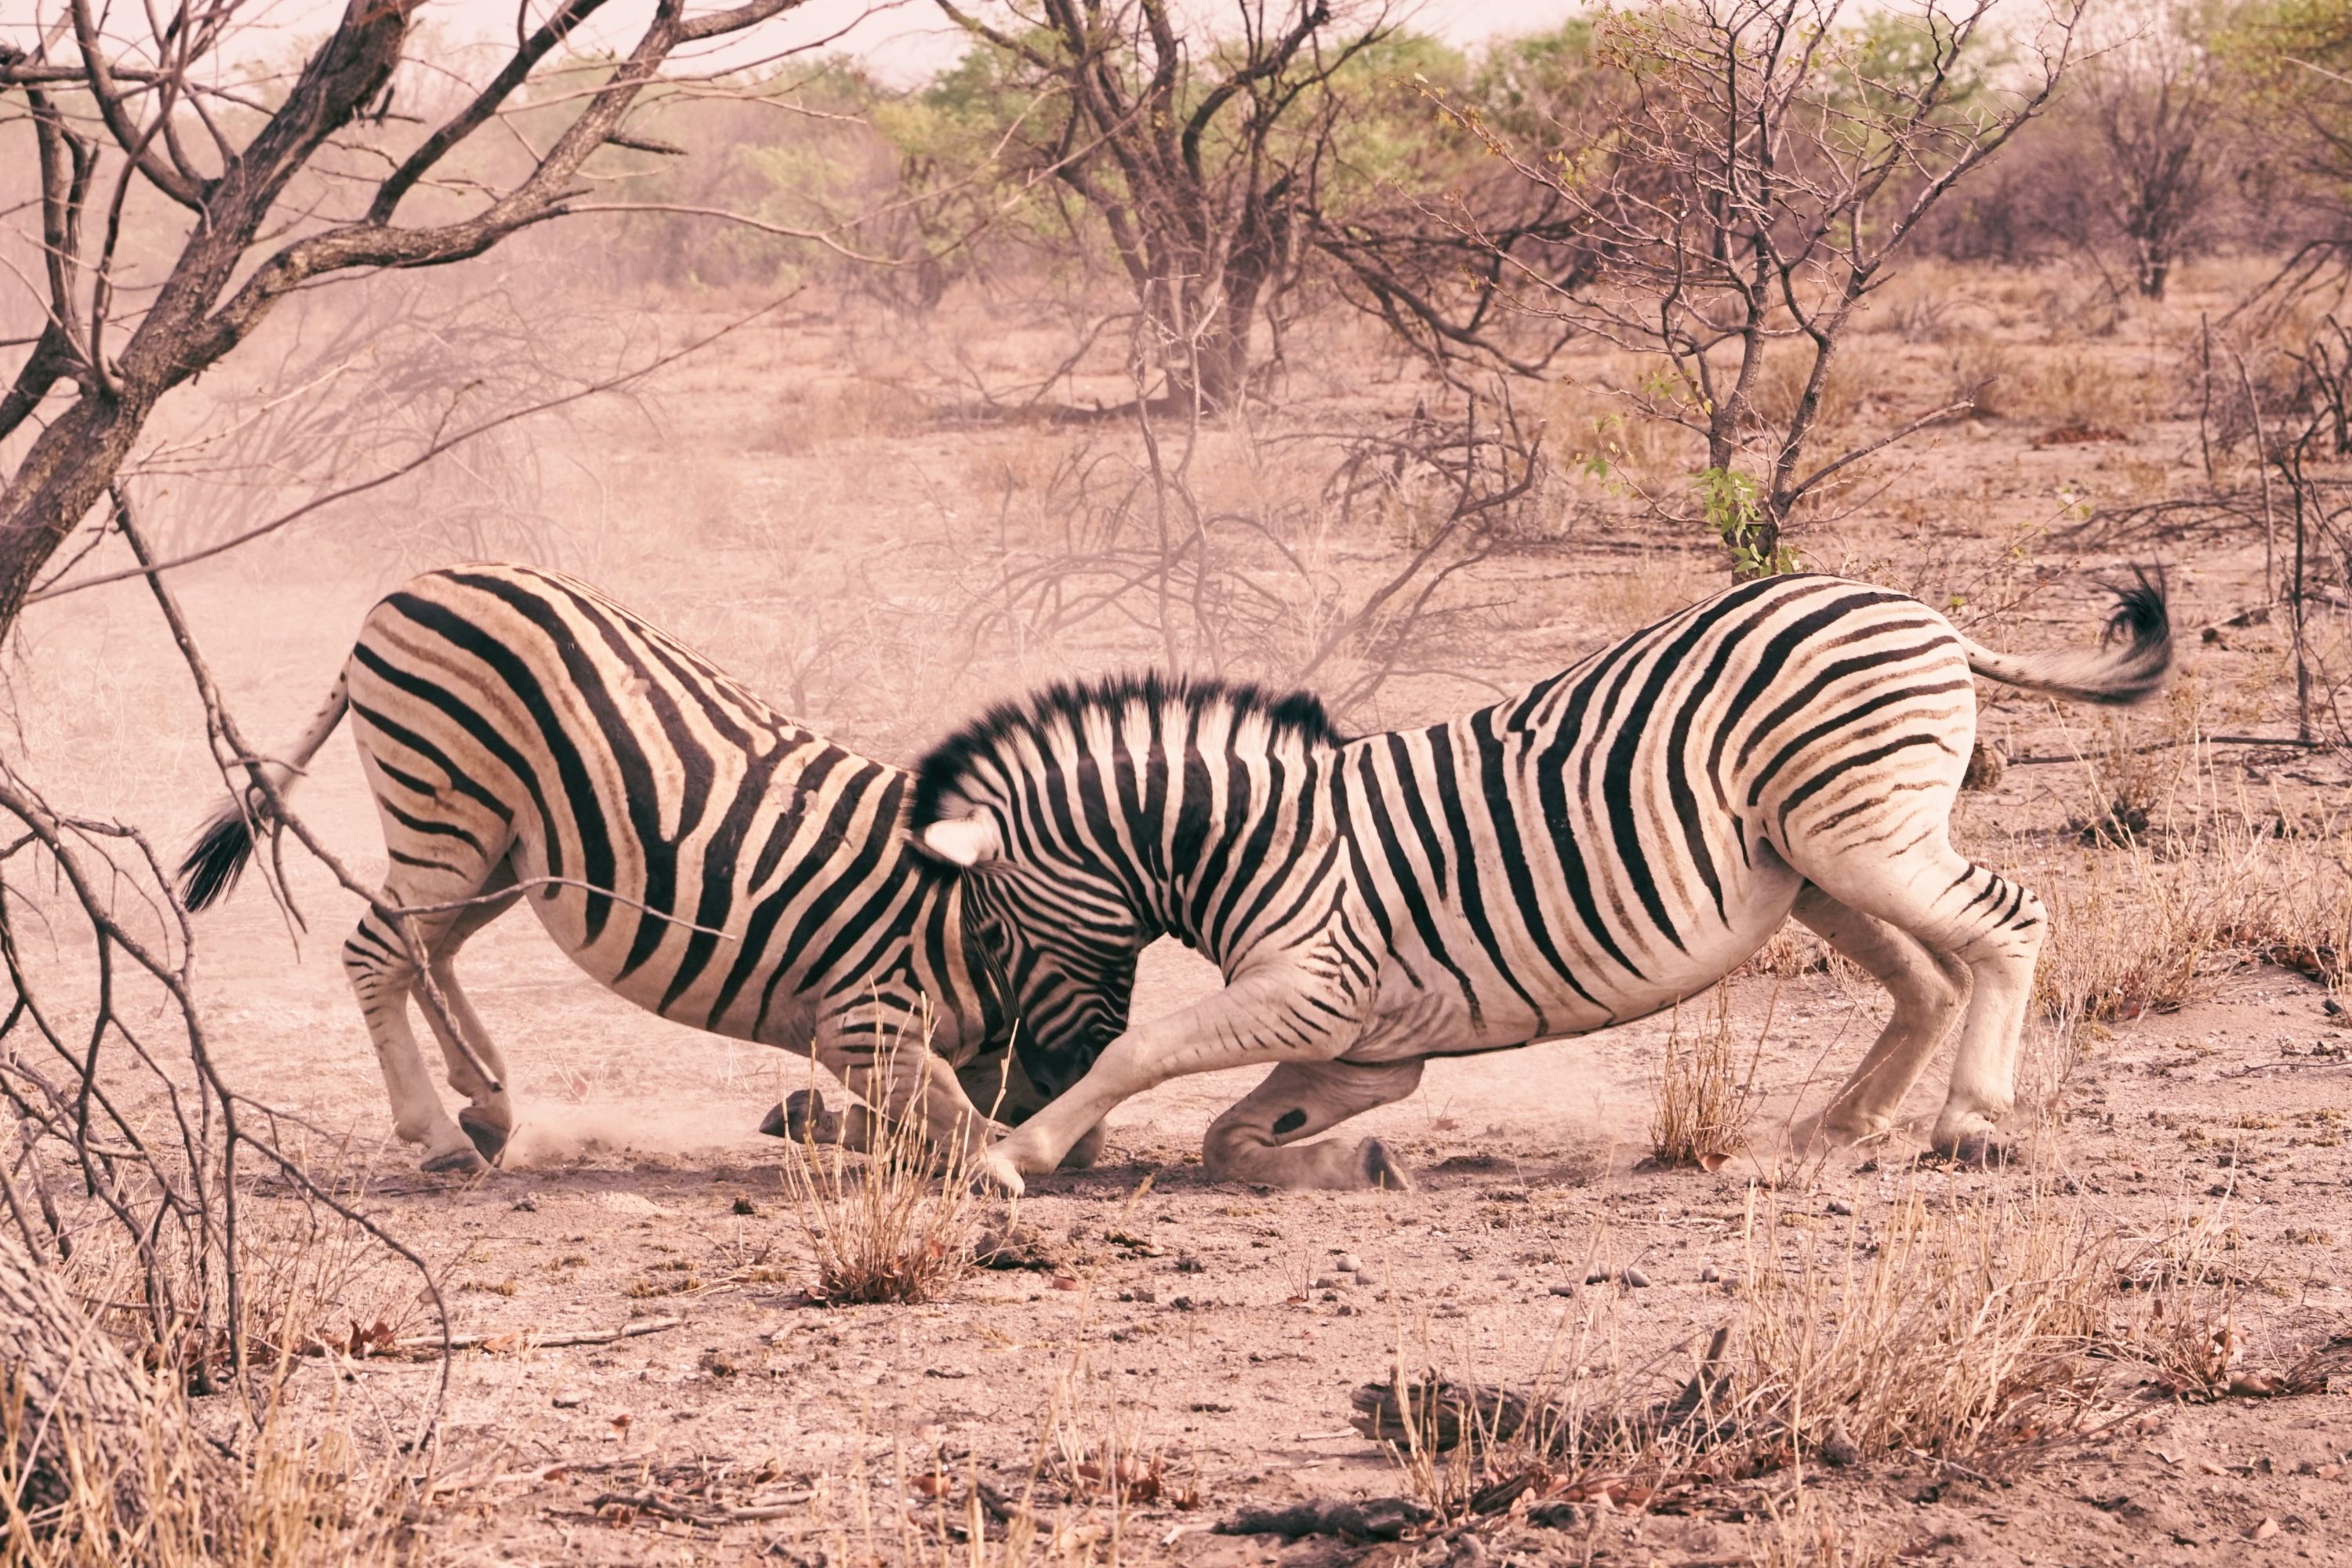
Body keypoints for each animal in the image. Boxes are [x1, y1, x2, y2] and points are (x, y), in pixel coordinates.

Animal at [178, 564, 1127, 1174]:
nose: (1092, 1048)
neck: (966, 917)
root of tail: (413, 586)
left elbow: (987, 1118)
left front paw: (825, 1123)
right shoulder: (868, 1017)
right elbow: (962, 1122)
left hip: (499, 846)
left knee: (426, 949)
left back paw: (487, 1096)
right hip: (449, 807)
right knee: (380, 952)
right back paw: (439, 1134)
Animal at [908, 571, 2171, 1194]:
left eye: (996, 939)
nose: (1010, 1094)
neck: (1256, 841)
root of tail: (1928, 616)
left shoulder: (1310, 990)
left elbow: (1141, 1052)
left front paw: (1010, 1160)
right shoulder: (1366, 1046)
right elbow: (1230, 1137)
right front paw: (1351, 1163)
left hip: (1863, 834)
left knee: (2009, 924)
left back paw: (1972, 1123)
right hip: (1813, 860)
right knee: (1929, 978)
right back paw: (1840, 1124)